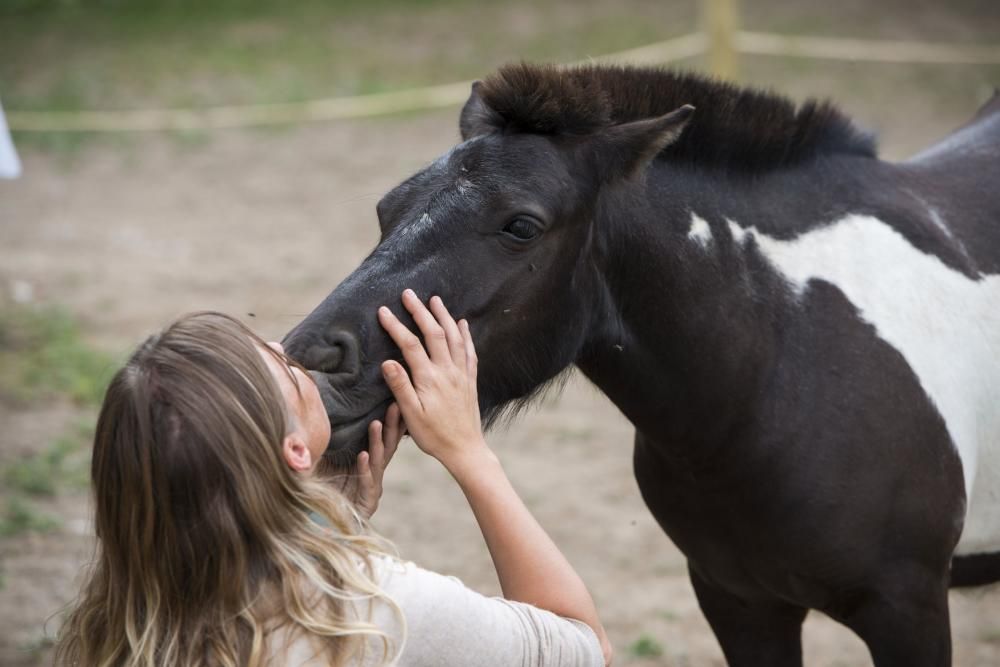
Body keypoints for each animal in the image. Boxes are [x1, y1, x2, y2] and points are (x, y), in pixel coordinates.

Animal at [284, 64, 1000, 667]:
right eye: (387, 209)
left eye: (521, 225)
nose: (311, 363)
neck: (779, 370)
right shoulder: (740, 602)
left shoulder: (907, 609)